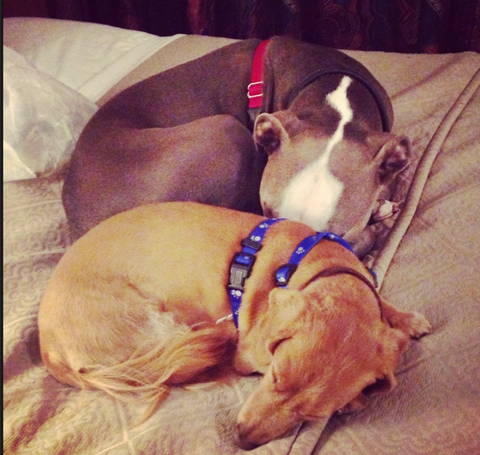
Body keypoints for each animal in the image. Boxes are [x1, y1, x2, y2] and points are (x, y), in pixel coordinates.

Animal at [38, 202, 432, 448]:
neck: (313, 265)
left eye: (313, 415)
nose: (243, 441)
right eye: (274, 377)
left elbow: (383, 306)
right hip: (159, 330)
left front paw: (406, 319)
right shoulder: (250, 353)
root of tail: (48, 347)